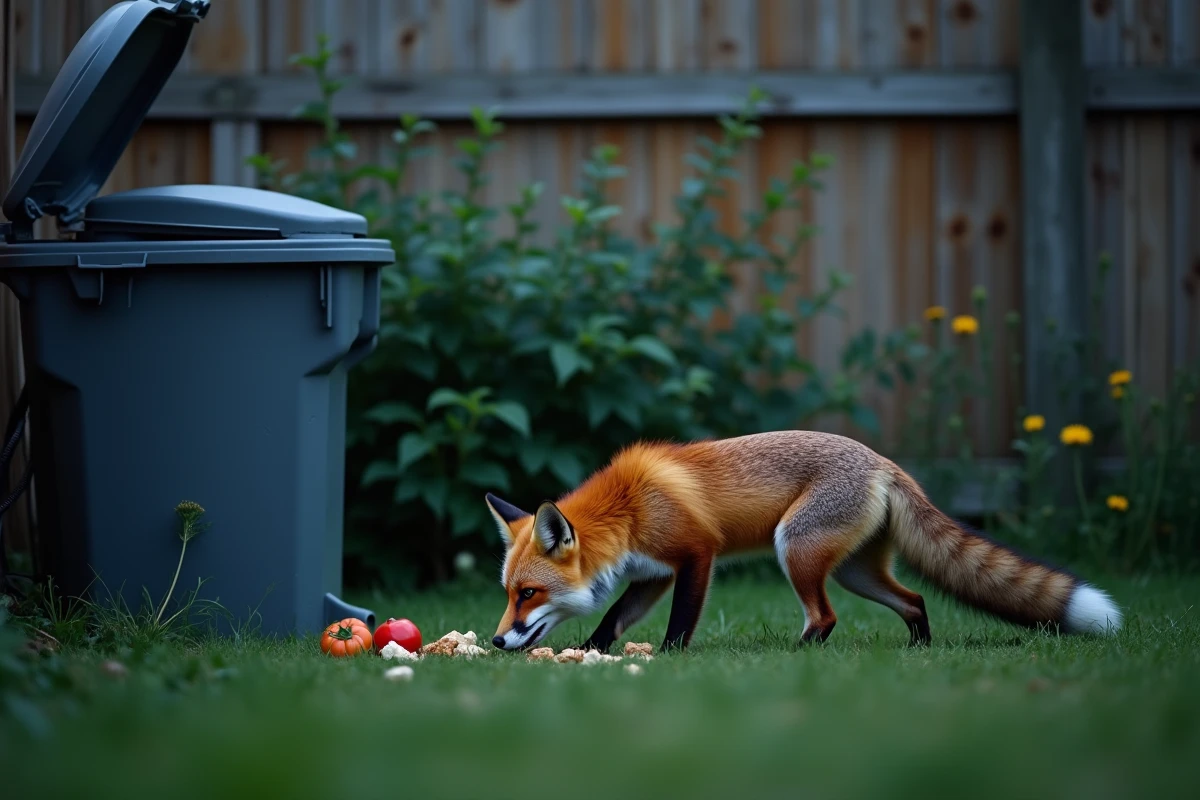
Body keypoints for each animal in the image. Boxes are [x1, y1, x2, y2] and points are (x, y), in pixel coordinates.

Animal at [484, 431, 1124, 653]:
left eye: (527, 594)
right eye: (508, 593)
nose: (494, 641)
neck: (630, 508)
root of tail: (884, 461)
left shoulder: (695, 555)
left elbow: (680, 623)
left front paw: (669, 659)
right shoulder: (654, 573)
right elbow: (613, 619)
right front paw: (595, 653)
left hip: (795, 549)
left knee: (826, 618)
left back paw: (795, 659)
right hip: (855, 571)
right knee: (914, 600)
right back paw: (919, 650)